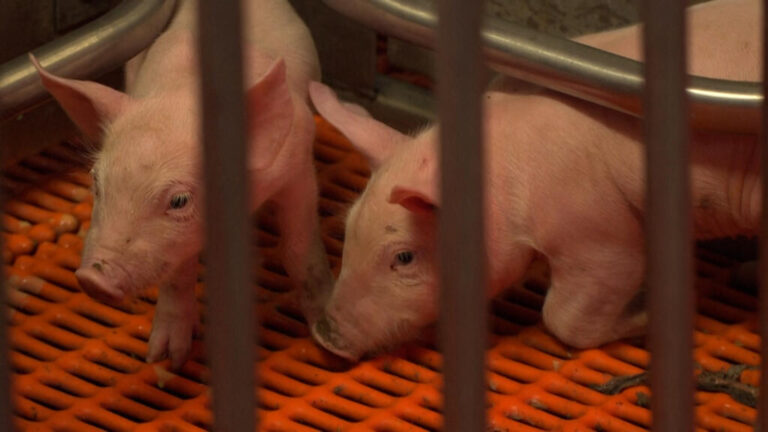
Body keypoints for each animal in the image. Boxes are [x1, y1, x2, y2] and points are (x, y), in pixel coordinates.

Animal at [30, 0, 333, 369]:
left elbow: (299, 250)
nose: (92, 279)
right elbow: (177, 274)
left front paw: (324, 335)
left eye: (180, 200)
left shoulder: (298, 166)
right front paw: (165, 359)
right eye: (96, 181)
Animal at [307, 0, 762, 361]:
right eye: (348, 230)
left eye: (404, 257)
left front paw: (649, 313)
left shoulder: (602, 231)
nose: (325, 335)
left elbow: (564, 315)